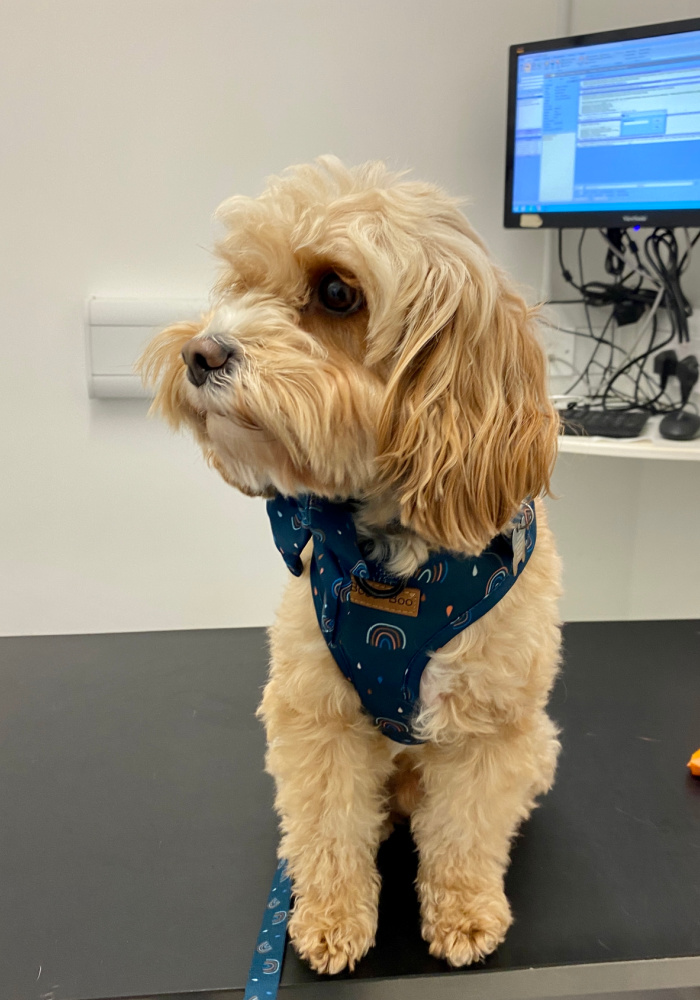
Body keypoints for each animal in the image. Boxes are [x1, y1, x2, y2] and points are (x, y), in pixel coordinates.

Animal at [139, 158, 560, 976]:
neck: (393, 566)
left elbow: (466, 832)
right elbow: (328, 827)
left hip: (538, 742)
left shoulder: (489, 728)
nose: (199, 353)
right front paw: (331, 919)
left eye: (338, 292)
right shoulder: (317, 713)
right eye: (241, 282)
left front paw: (464, 911)